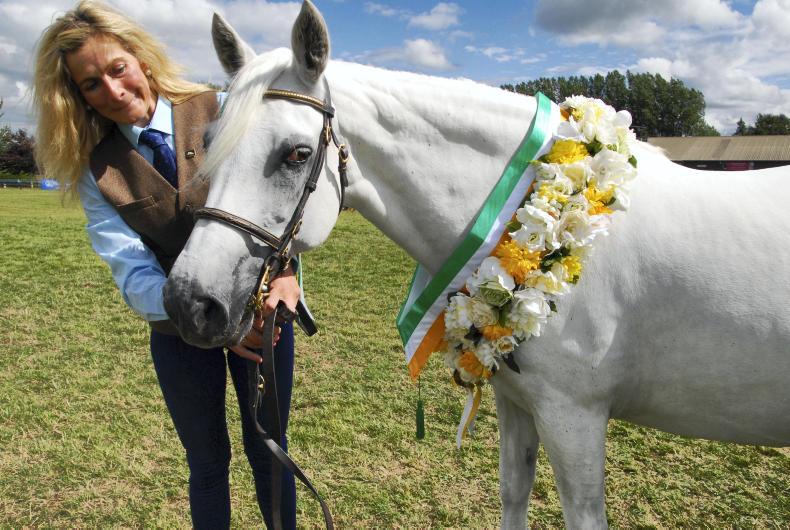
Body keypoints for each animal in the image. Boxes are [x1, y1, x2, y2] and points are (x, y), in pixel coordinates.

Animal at [163, 1, 790, 527]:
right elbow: (513, 496)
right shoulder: (519, 405)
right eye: (208, 141)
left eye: (295, 154)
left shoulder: (575, 418)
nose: (190, 303)